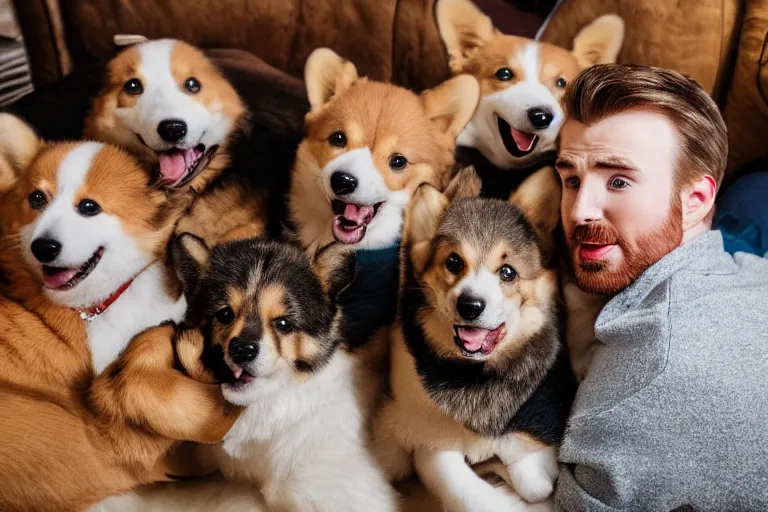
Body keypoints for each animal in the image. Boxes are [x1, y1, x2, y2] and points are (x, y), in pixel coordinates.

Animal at [372, 168, 576, 512]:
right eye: (454, 262)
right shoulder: (427, 439)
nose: (470, 305)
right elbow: (454, 481)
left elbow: (534, 481)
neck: (476, 376)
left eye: (507, 272)